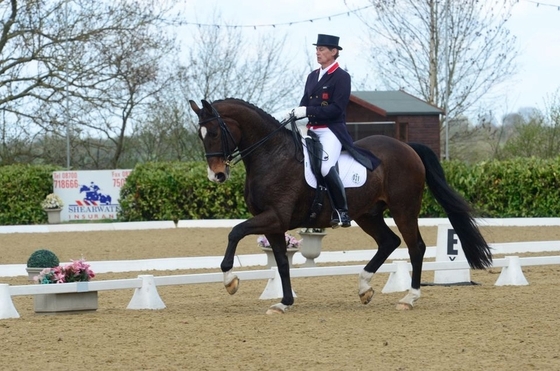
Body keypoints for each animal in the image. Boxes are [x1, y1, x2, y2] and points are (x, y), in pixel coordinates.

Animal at [188, 98, 490, 314]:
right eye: (200, 135)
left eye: (214, 132)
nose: (216, 175)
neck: (272, 155)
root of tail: (407, 148)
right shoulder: (274, 224)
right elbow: (282, 263)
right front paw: (284, 302)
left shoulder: (274, 217)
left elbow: (235, 232)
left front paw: (230, 280)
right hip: (368, 214)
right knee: (389, 242)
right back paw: (364, 287)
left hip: (404, 209)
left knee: (415, 247)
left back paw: (409, 298)